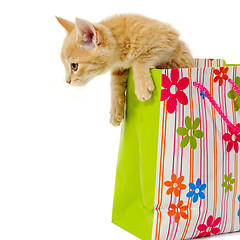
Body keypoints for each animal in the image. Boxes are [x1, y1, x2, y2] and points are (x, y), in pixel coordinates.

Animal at [56, 13, 195, 125]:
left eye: (74, 66)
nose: (67, 81)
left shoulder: (167, 39)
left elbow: (141, 58)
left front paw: (142, 85)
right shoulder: (119, 67)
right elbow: (115, 83)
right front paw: (116, 108)